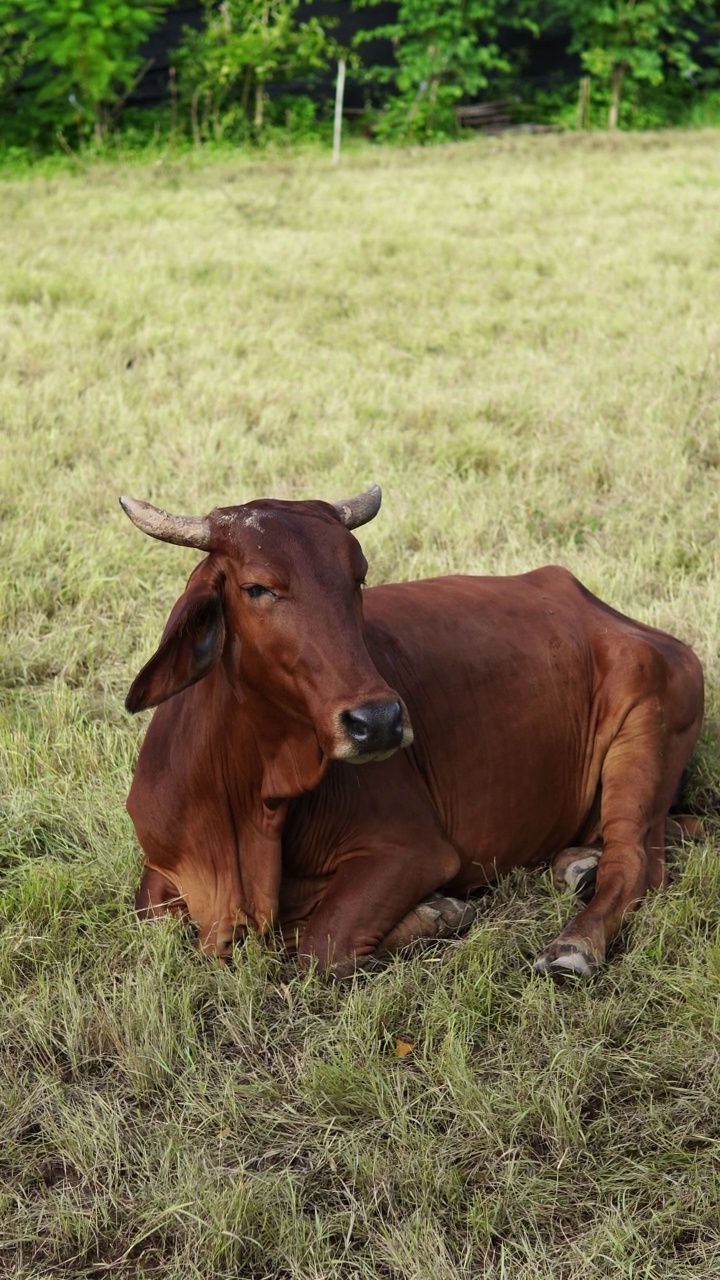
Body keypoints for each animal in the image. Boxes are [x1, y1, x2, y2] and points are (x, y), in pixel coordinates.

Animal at [121, 483, 702, 972]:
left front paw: (440, 912)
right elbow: (159, 916)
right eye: (257, 587)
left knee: (637, 861)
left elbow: (318, 943)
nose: (377, 722)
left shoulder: (412, 850)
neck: (247, 799)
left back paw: (575, 941)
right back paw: (579, 864)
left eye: (357, 578)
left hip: (642, 731)